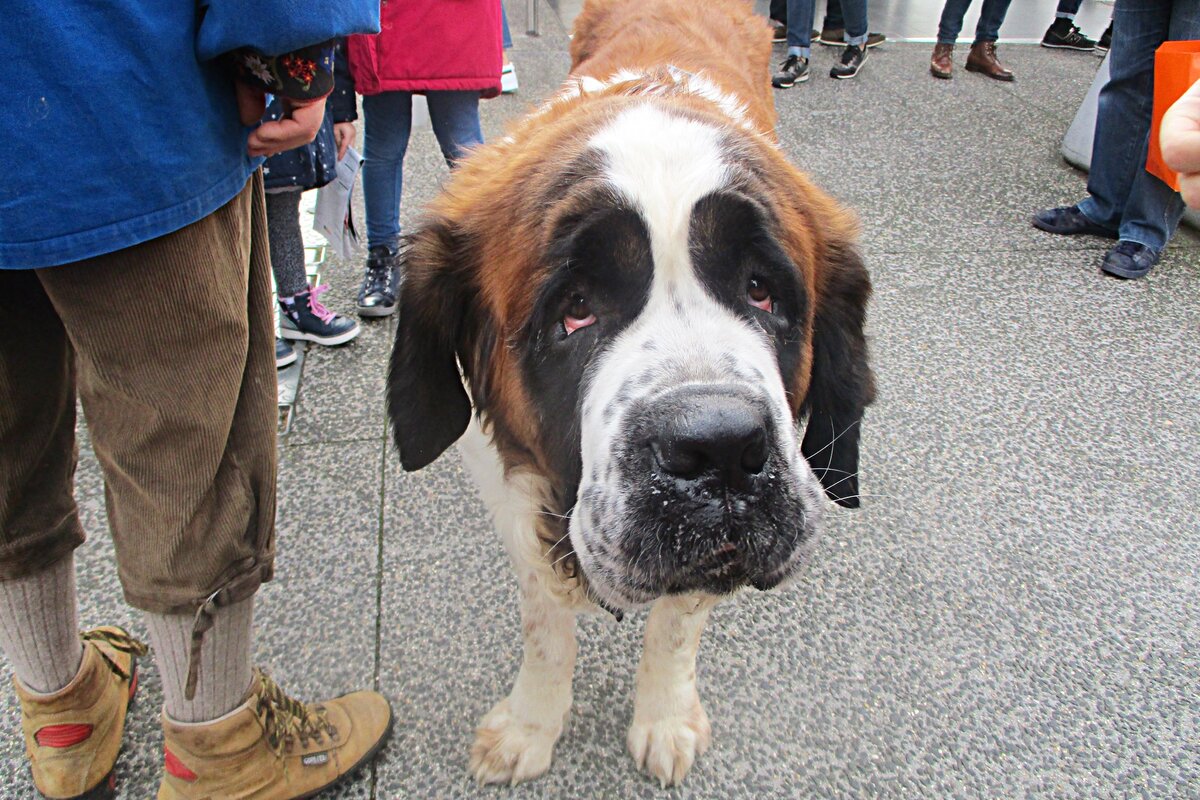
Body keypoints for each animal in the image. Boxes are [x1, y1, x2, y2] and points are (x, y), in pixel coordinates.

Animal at [388, 0, 878, 786]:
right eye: (575, 308)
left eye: (761, 289)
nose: (721, 448)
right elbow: (545, 625)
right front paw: (530, 724)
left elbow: (676, 628)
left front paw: (665, 720)